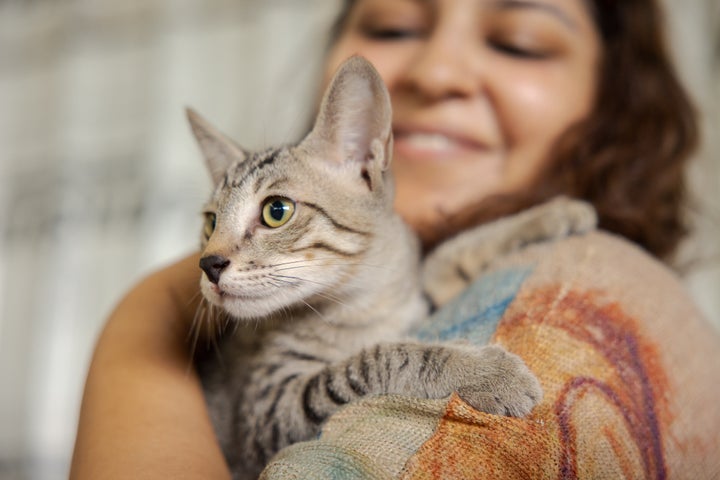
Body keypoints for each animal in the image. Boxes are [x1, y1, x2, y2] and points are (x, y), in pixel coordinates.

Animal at [188, 57, 544, 480]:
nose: (208, 264)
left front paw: (550, 216)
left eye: (276, 210)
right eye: (211, 222)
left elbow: (445, 259)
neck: (366, 305)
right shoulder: (268, 412)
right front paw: (482, 371)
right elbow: (380, 357)